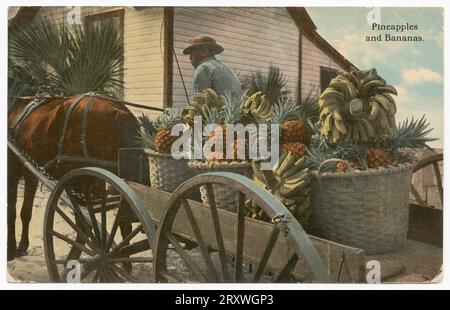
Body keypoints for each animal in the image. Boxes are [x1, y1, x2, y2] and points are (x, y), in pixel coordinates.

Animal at [7, 93, 140, 260]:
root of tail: (120, 111)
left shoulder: (12, 173)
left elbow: (11, 212)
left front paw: (11, 249)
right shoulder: (29, 174)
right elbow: (25, 211)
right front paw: (22, 246)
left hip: (82, 179)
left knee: (85, 223)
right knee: (123, 221)